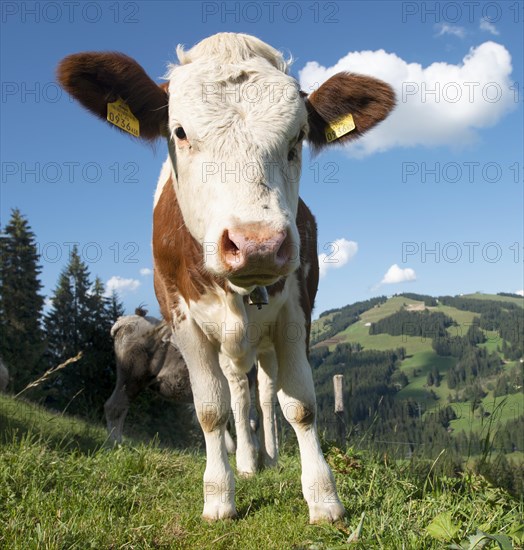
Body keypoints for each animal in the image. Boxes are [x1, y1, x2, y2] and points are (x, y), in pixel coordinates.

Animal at [57, 32, 392, 524]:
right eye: (179, 131)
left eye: (298, 136)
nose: (257, 243)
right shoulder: (181, 317)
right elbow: (212, 410)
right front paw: (219, 496)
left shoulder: (297, 311)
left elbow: (300, 405)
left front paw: (323, 497)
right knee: (232, 394)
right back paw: (245, 462)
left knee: (263, 395)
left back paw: (264, 457)